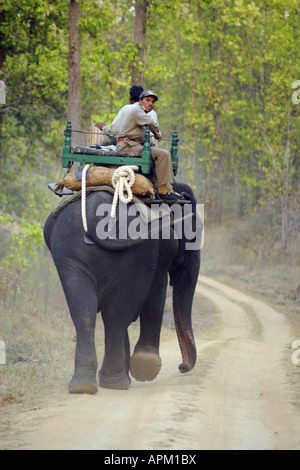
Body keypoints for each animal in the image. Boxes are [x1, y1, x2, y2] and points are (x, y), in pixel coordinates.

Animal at [43, 182, 202, 394]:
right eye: (194, 235)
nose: (182, 367)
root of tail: (93, 216)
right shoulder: (158, 255)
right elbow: (155, 300)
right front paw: (145, 367)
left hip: (69, 253)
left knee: (85, 309)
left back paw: (86, 386)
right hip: (134, 254)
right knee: (114, 315)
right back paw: (116, 382)